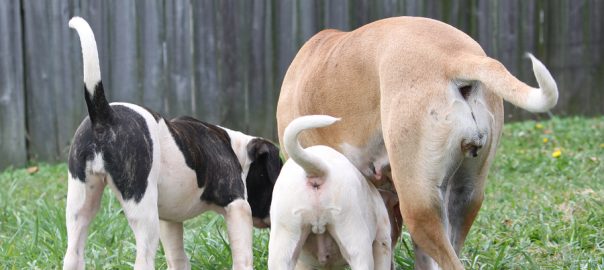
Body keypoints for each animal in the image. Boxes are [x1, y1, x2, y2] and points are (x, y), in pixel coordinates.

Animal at [63, 16, 280, 270]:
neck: (238, 151)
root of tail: (104, 114)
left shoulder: (170, 221)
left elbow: (177, 257)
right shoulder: (237, 206)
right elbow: (243, 257)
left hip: (80, 204)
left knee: (73, 253)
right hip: (143, 212)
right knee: (143, 259)